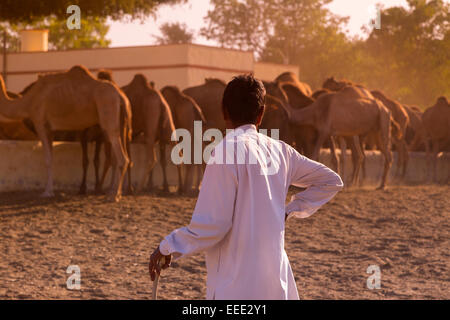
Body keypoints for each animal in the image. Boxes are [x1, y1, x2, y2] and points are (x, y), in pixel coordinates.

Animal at [0, 66, 132, 201]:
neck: (29, 101)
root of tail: (120, 95)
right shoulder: (50, 130)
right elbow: (51, 158)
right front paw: (50, 190)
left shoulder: (40, 124)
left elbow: (47, 159)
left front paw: (47, 192)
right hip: (121, 121)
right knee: (117, 156)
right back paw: (114, 192)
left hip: (108, 111)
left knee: (122, 157)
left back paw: (114, 196)